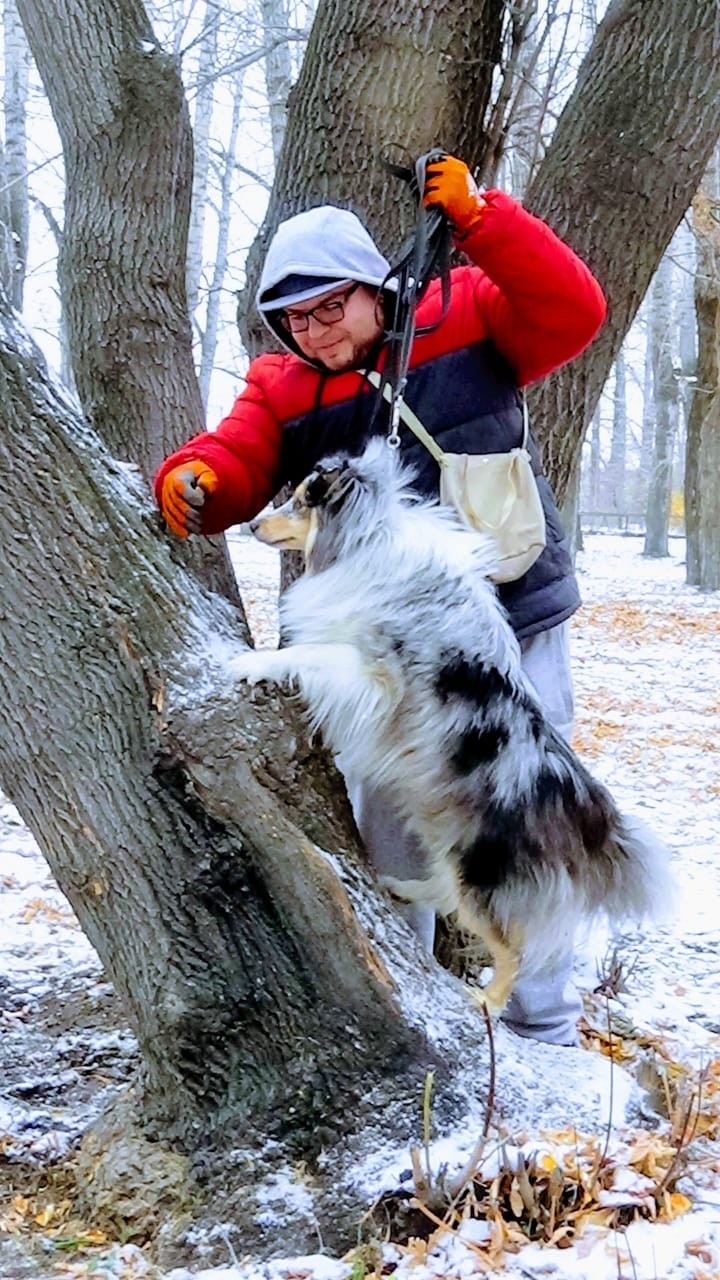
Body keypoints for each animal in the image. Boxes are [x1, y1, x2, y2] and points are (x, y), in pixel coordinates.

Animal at [228, 440, 666, 1008]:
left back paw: (483, 1002)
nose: (252, 525)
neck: (369, 537)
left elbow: (311, 654)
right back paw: (398, 887)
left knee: (513, 952)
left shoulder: (375, 674)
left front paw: (251, 661)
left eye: (303, 501)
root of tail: (582, 807)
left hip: (480, 871)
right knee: (441, 893)